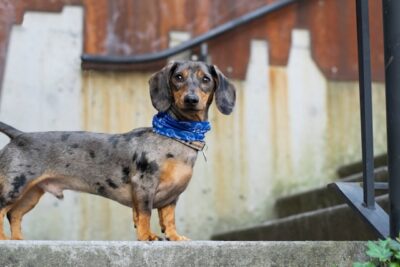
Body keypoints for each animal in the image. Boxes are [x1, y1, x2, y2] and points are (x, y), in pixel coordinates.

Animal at [0, 61, 234, 243]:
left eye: (206, 79)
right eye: (178, 77)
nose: (191, 99)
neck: (175, 135)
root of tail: (19, 135)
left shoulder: (171, 196)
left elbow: (168, 219)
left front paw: (175, 237)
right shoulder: (144, 185)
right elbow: (145, 214)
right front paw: (146, 236)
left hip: (31, 193)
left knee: (14, 215)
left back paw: (17, 240)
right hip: (14, 187)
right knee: (2, 210)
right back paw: (4, 239)